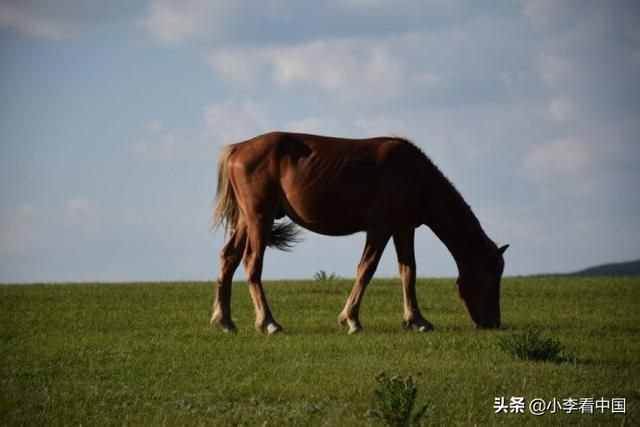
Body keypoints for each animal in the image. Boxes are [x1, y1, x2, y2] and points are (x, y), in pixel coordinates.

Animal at [212, 132, 508, 336]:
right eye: (491, 277)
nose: (493, 323)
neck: (416, 176)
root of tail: (238, 148)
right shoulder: (379, 229)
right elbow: (366, 269)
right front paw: (351, 319)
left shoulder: (403, 229)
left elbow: (408, 272)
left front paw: (416, 320)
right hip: (259, 220)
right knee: (252, 263)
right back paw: (269, 322)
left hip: (246, 222)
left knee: (229, 259)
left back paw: (225, 321)